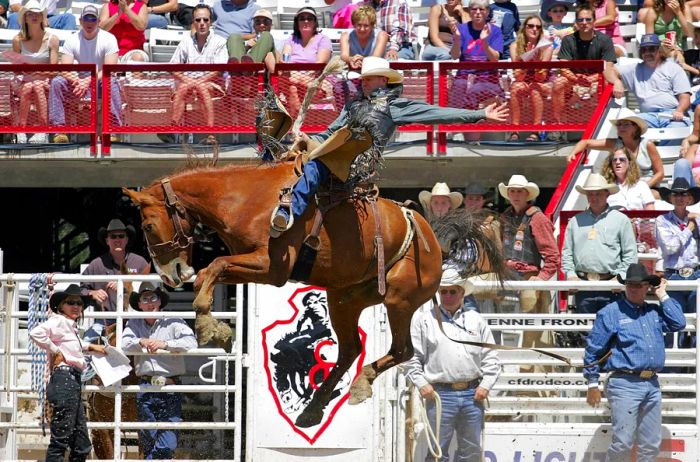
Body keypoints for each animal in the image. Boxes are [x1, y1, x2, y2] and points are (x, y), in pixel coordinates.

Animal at [122, 158, 442, 426]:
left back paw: (359, 383)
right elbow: (208, 273)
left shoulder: (271, 267)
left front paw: (206, 326)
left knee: (402, 350)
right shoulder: (251, 265)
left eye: (147, 226)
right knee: (350, 349)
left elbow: (214, 266)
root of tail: (429, 233)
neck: (245, 199)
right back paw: (313, 408)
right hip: (344, 299)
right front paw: (221, 330)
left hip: (398, 299)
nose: (169, 275)